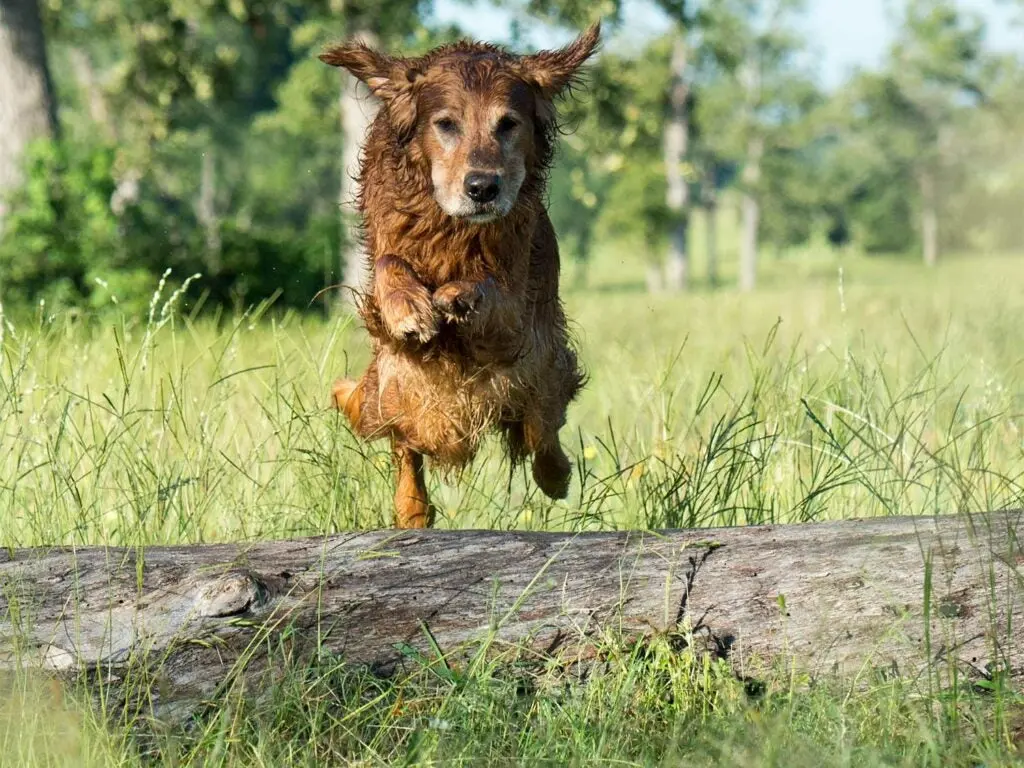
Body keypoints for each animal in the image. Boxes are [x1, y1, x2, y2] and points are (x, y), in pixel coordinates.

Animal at [321, 24, 598, 528]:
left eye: (508, 123)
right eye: (445, 124)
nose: (482, 187)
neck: (451, 228)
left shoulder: (515, 310)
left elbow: (489, 287)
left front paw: (458, 297)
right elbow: (391, 265)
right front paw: (409, 308)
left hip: (541, 367)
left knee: (541, 431)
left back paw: (556, 475)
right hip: (393, 388)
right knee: (401, 442)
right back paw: (411, 509)